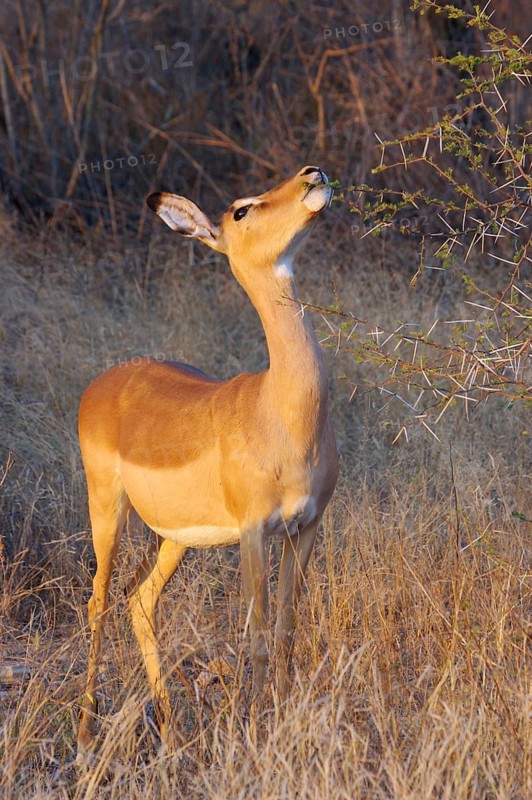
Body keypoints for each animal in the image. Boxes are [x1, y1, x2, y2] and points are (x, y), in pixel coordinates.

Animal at [76, 166, 339, 759]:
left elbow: (287, 630)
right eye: (241, 209)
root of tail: (104, 382)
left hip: (175, 538)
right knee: (99, 601)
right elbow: (258, 635)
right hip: (108, 510)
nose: (311, 174)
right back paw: (84, 736)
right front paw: (259, 730)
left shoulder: (306, 527)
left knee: (139, 601)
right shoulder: (254, 531)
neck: (283, 413)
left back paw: (173, 731)